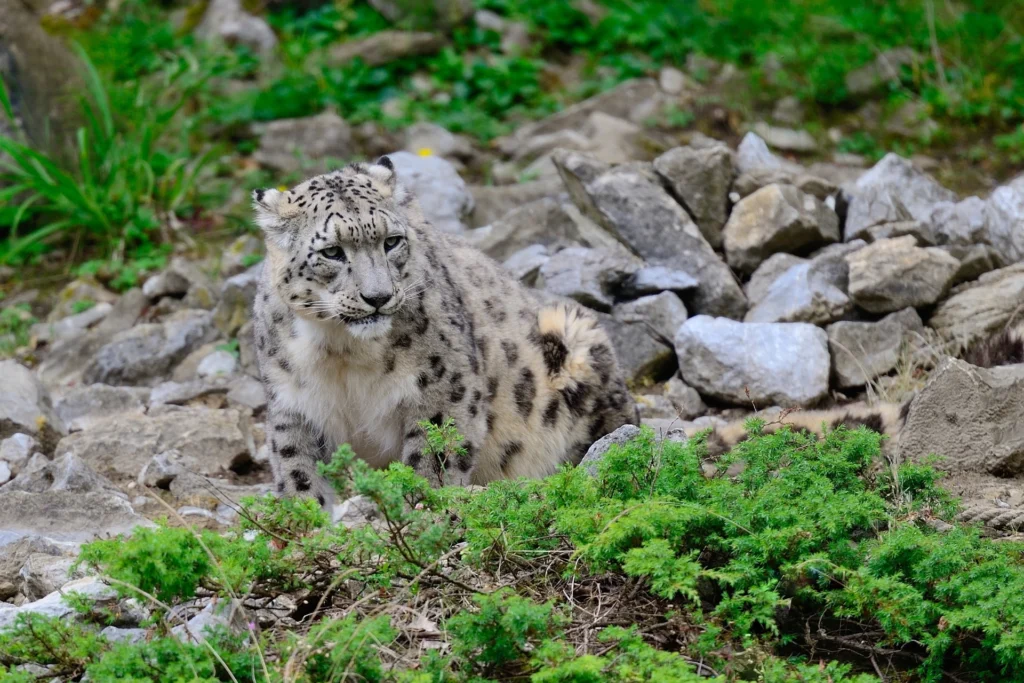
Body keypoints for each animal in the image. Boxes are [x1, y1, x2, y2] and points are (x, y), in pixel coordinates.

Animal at [251, 156, 638, 508]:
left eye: (391, 241)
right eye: (331, 251)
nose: (378, 297)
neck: (342, 352)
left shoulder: (444, 384)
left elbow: (433, 455)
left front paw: (423, 508)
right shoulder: (293, 401)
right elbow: (297, 467)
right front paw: (306, 522)